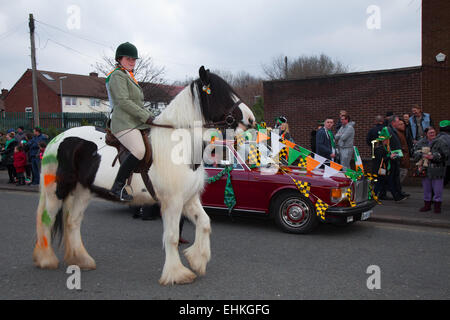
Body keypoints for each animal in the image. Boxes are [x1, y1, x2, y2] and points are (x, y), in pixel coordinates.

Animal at [33, 67, 255, 284]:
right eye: (219, 93)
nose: (251, 119)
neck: (178, 146)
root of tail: (57, 138)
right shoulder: (173, 201)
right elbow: (172, 236)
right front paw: (177, 274)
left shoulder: (189, 199)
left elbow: (205, 223)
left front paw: (197, 260)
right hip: (56, 191)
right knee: (46, 219)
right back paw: (46, 259)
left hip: (83, 192)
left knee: (73, 222)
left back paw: (81, 260)